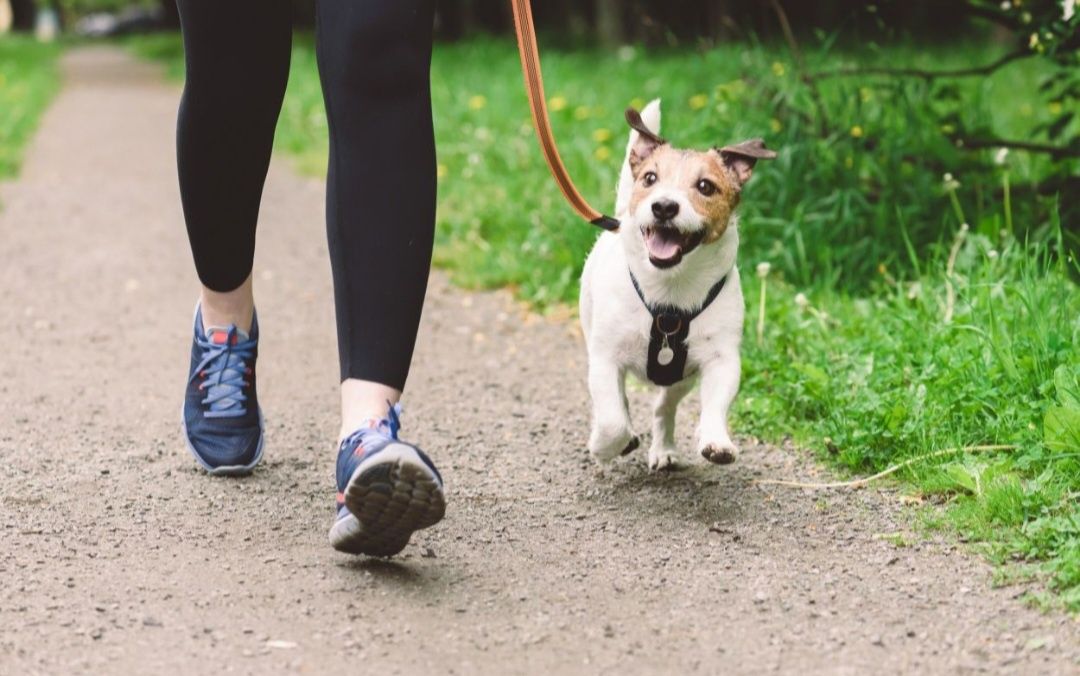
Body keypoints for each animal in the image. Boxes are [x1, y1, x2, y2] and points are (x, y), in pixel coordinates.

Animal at [578, 98, 773, 468]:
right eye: (650, 178)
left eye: (705, 186)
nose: (664, 206)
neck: (670, 292)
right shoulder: (605, 358)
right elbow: (612, 419)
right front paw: (604, 446)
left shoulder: (721, 359)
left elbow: (715, 404)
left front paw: (716, 441)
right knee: (620, 404)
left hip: (681, 378)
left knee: (663, 407)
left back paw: (664, 448)